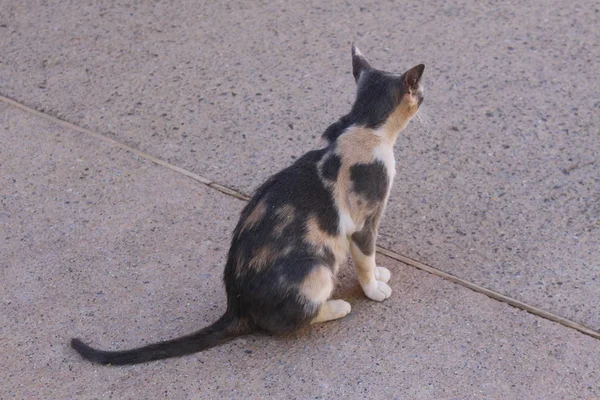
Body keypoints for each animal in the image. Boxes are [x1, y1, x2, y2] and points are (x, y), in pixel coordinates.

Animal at [70, 44, 424, 366]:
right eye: (419, 91)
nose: (424, 94)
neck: (363, 125)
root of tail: (236, 303)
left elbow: (369, 258)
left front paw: (379, 273)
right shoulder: (364, 220)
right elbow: (365, 256)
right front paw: (373, 287)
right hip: (317, 269)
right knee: (288, 321)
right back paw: (337, 307)